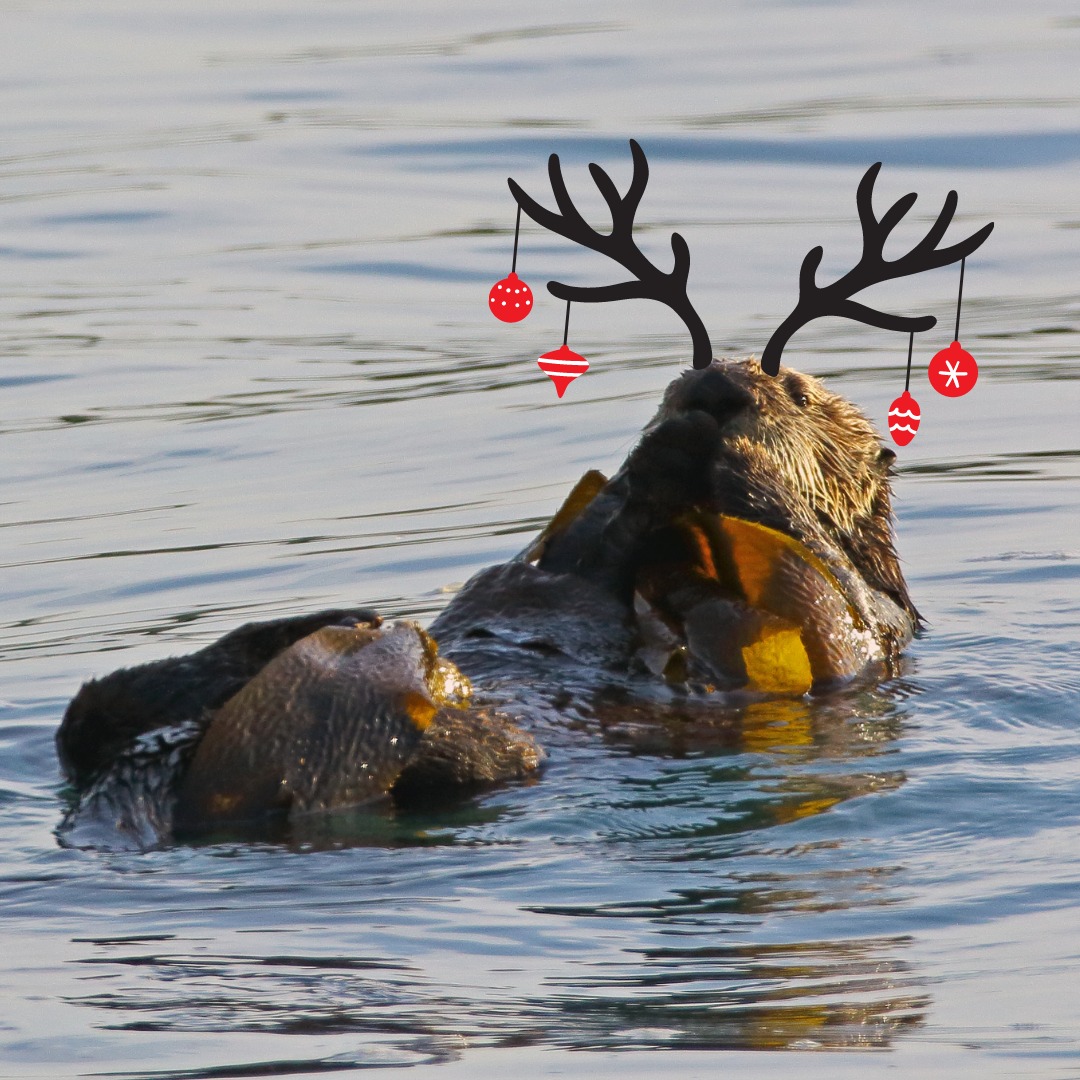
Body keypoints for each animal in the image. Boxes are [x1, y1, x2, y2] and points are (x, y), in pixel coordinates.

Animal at [56, 359, 917, 846]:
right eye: (684, 371)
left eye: (797, 393)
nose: (715, 387)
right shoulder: (581, 559)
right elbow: (577, 548)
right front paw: (654, 455)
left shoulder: (875, 616)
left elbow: (838, 589)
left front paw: (733, 457)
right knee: (92, 712)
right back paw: (323, 627)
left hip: (471, 754)